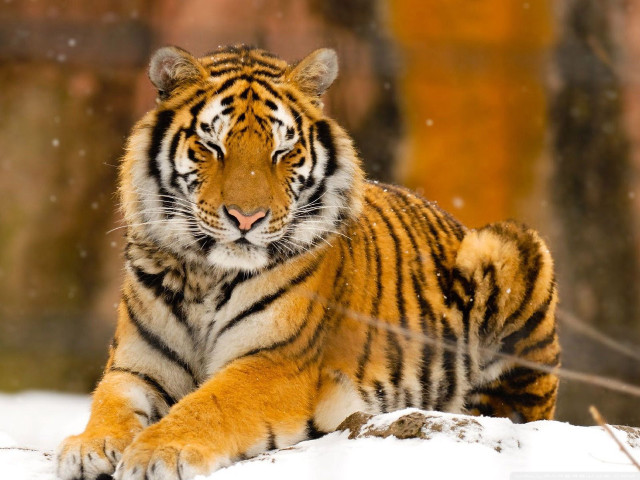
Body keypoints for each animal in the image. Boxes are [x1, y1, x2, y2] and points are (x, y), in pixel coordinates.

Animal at [57, 45, 560, 480]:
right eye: (212, 147)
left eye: (282, 151)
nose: (246, 218)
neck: (205, 273)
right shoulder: (136, 366)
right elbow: (109, 402)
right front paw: (88, 447)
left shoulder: (274, 362)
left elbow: (209, 405)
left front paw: (158, 452)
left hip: (509, 249)